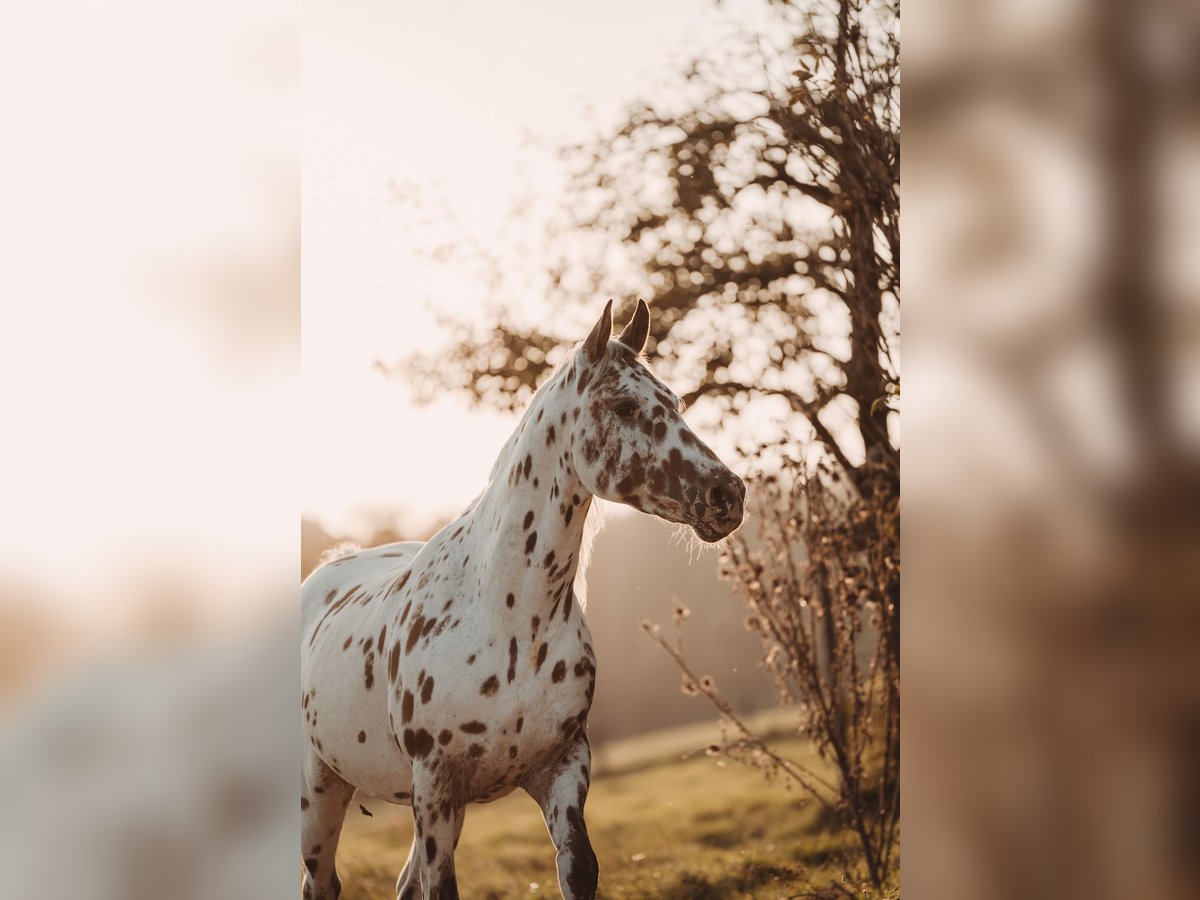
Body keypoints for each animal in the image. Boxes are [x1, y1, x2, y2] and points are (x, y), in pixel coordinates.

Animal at [300, 303, 744, 900]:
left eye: (675, 402)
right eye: (625, 406)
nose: (729, 495)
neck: (508, 618)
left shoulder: (561, 767)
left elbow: (578, 869)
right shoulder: (436, 786)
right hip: (322, 791)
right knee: (322, 883)